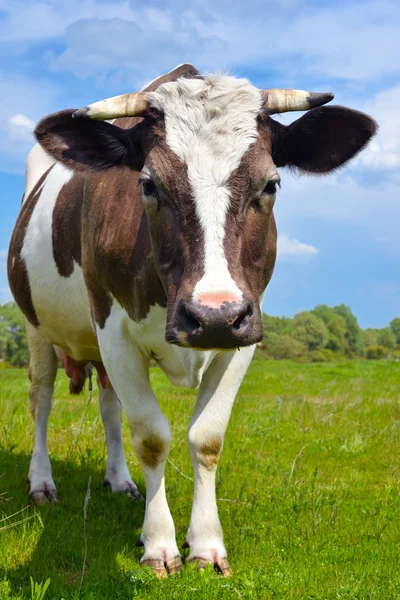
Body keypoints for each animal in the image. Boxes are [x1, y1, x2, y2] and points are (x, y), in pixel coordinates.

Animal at [6, 62, 376, 576]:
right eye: (148, 184)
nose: (212, 316)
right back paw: (42, 482)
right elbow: (151, 436)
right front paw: (159, 545)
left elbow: (206, 438)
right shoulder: (112, 329)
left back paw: (119, 480)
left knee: (109, 405)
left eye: (270, 184)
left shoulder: (243, 333)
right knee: (41, 397)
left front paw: (206, 545)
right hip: (36, 326)